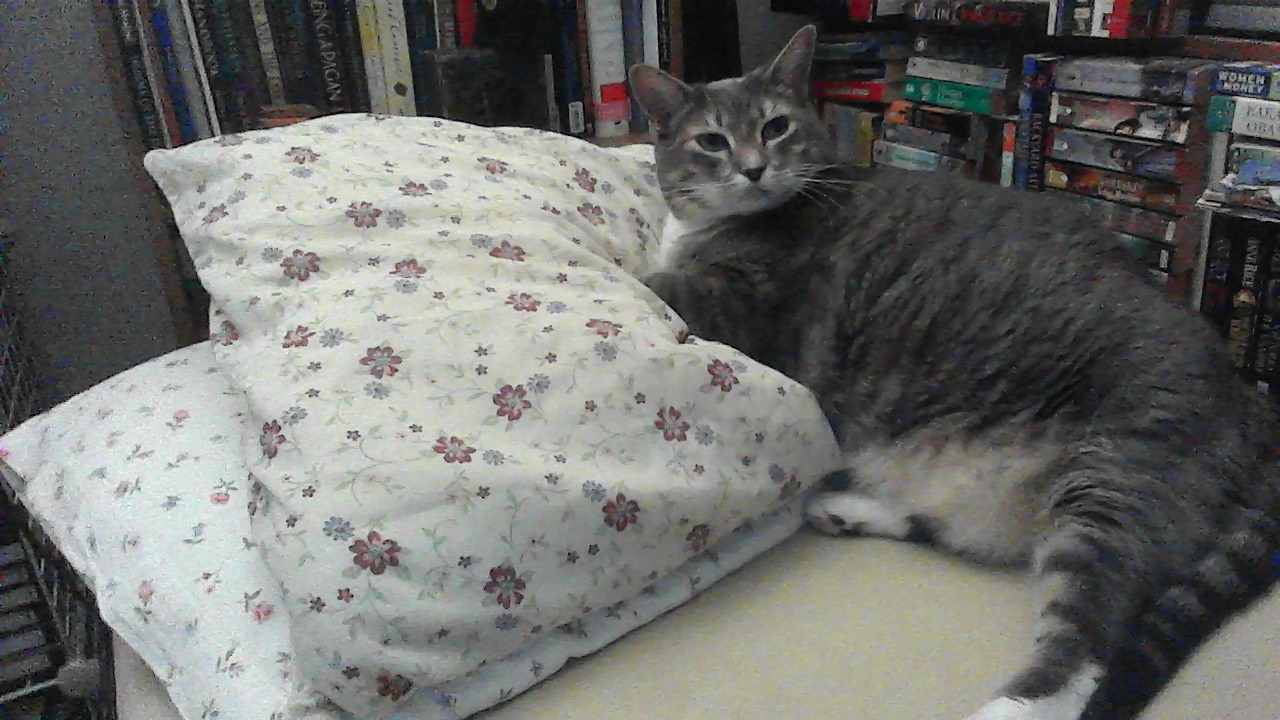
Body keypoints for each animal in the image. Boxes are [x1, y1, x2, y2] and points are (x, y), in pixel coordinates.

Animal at [629, 25, 1280, 720]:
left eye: (775, 126)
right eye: (712, 140)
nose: (753, 167)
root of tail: (1249, 403)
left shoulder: (737, 302)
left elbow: (649, 281)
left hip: (1113, 481)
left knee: (1089, 639)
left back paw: (1013, 703)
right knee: (967, 531)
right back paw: (846, 510)